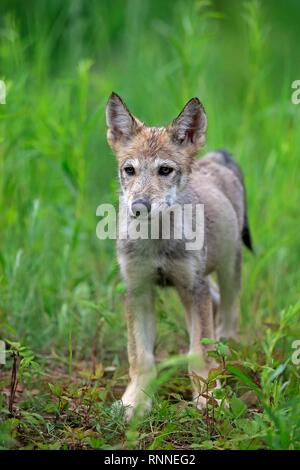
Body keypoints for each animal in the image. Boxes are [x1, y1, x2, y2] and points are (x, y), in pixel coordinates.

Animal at [105, 92, 251, 418]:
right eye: (130, 170)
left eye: (165, 170)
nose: (139, 206)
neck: (157, 241)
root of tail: (216, 158)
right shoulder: (138, 289)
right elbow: (141, 357)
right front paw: (135, 402)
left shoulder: (193, 287)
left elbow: (199, 354)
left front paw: (209, 400)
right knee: (216, 306)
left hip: (225, 270)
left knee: (229, 315)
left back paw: (229, 348)